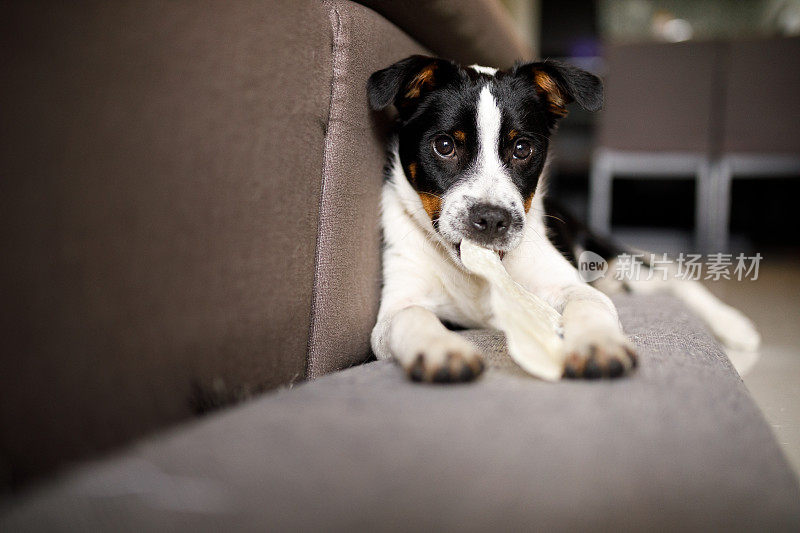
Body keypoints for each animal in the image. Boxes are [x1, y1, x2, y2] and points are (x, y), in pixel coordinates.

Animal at [366, 56, 760, 382]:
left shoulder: (568, 284)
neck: (479, 272)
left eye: (522, 148)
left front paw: (597, 344)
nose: (492, 220)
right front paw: (441, 349)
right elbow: (410, 317)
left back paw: (733, 323)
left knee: (673, 275)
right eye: (444, 146)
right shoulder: (394, 310)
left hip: (610, 260)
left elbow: (588, 304)